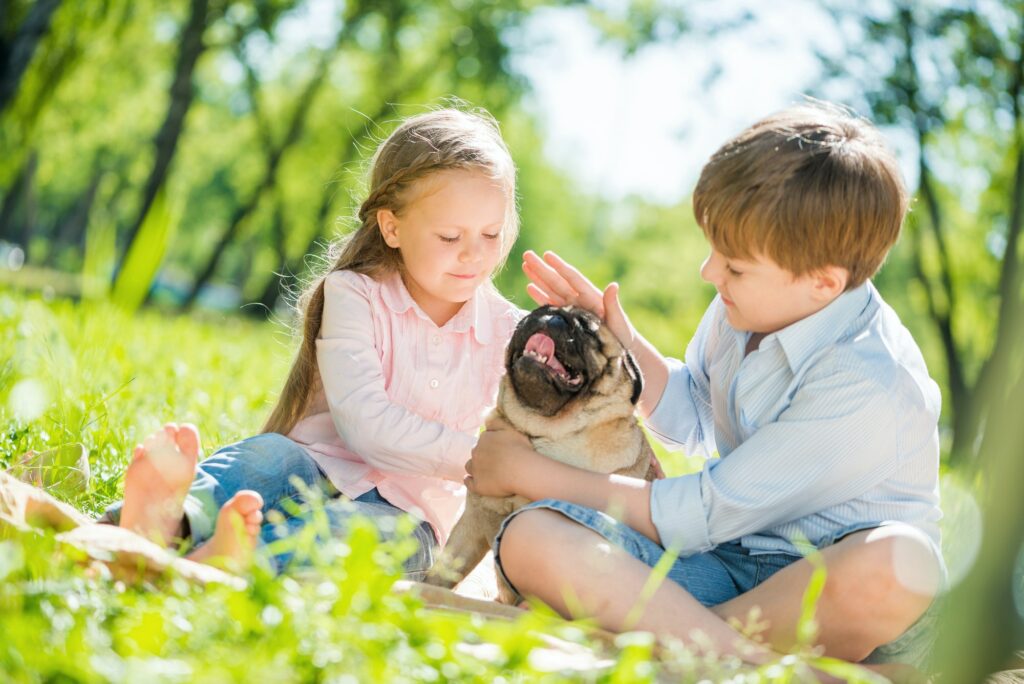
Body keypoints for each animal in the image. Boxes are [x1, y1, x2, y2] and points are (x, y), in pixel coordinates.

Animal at [423, 305, 655, 597]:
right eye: (538, 312)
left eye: (587, 328)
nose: (553, 317)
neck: (541, 431)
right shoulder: (470, 526)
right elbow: (441, 575)